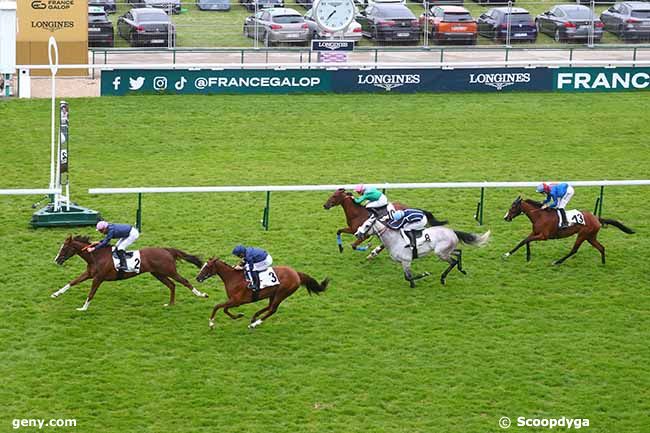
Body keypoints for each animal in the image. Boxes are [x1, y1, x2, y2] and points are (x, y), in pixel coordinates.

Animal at [54, 236, 210, 310]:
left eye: (64, 248)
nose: (57, 260)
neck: (96, 256)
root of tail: (167, 250)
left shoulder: (98, 278)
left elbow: (91, 293)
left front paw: (83, 308)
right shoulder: (89, 274)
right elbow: (72, 282)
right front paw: (56, 294)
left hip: (169, 270)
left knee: (184, 281)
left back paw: (201, 294)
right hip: (158, 273)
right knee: (172, 285)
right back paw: (170, 304)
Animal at [194, 258, 326, 330]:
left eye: (207, 267)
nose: (197, 278)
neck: (233, 278)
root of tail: (296, 273)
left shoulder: (236, 301)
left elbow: (218, 306)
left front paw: (211, 323)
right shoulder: (234, 301)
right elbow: (225, 309)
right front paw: (238, 316)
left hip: (282, 293)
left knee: (272, 309)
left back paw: (254, 324)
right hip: (274, 293)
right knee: (269, 306)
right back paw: (254, 318)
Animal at [356, 216, 488, 286]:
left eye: (367, 225)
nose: (357, 234)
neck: (394, 239)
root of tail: (452, 231)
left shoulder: (406, 261)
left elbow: (409, 277)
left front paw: (424, 275)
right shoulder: (403, 263)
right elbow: (407, 277)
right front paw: (413, 284)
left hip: (441, 253)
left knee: (453, 262)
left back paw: (443, 278)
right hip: (445, 251)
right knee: (459, 252)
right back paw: (462, 269)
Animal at [502, 196, 632, 264]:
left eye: (513, 207)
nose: (505, 217)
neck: (540, 215)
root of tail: (596, 218)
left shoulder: (544, 236)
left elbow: (525, 241)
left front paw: (509, 254)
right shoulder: (535, 232)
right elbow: (524, 241)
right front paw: (525, 256)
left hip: (583, 235)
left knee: (574, 250)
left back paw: (557, 262)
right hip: (590, 237)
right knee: (601, 247)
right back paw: (603, 263)